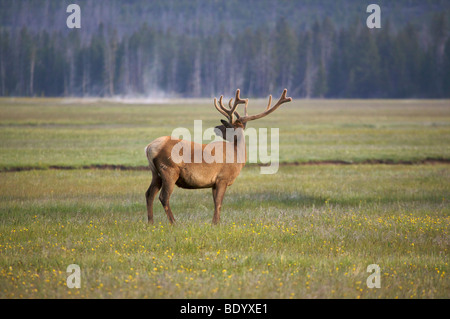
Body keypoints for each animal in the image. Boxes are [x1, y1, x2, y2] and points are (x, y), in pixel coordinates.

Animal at [144, 89, 292, 226]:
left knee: (149, 194)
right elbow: (219, 202)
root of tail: (149, 147)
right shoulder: (223, 178)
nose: (216, 127)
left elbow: (215, 202)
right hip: (169, 170)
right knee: (164, 197)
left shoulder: (214, 183)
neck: (237, 155)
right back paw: (174, 223)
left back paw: (151, 223)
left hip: (155, 173)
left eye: (227, 127)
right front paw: (215, 223)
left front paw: (216, 222)